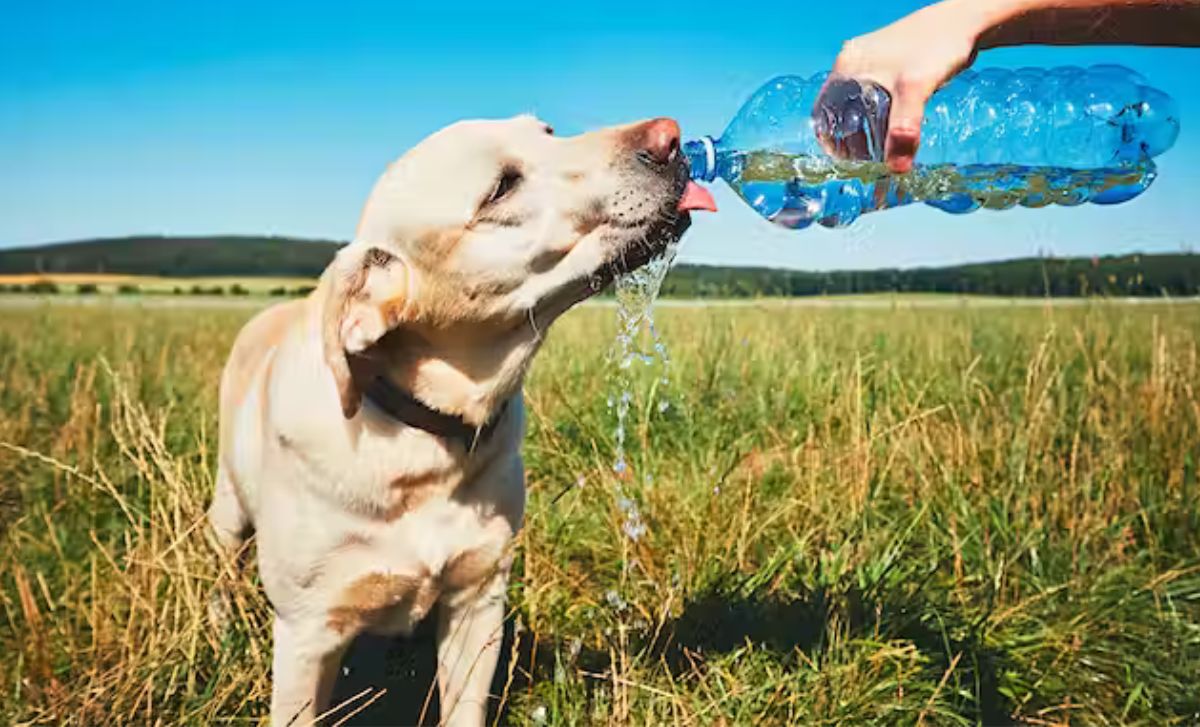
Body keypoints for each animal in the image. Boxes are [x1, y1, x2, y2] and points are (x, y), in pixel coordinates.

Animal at [208, 116, 710, 724]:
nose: (670, 136)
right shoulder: (307, 633)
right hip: (227, 512)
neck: (423, 438)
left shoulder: (478, 600)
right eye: (502, 187)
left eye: (548, 131)